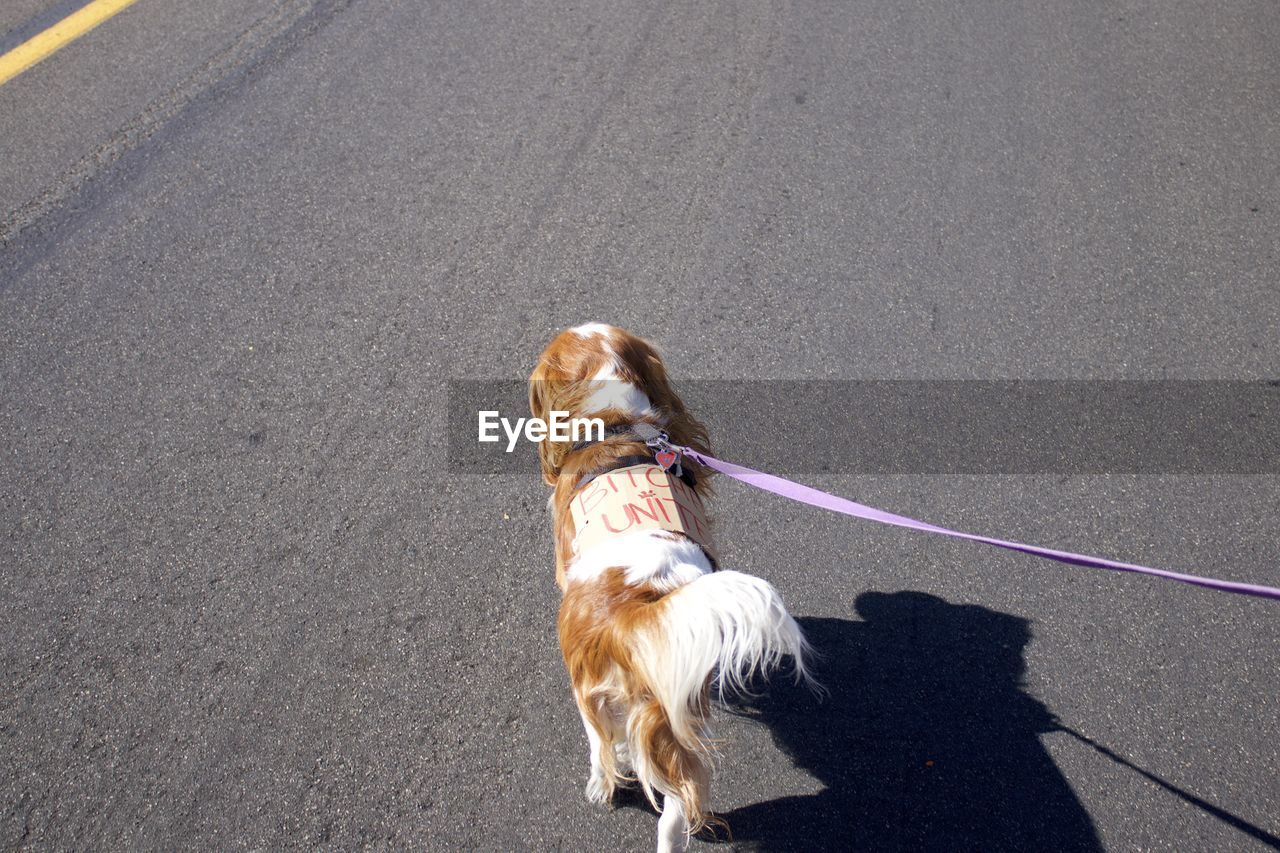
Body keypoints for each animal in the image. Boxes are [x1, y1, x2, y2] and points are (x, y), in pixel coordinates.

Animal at [527, 322, 808, 845]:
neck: (615, 423)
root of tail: (633, 612)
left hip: (590, 694)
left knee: (603, 748)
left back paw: (603, 784)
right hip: (671, 712)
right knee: (675, 815)